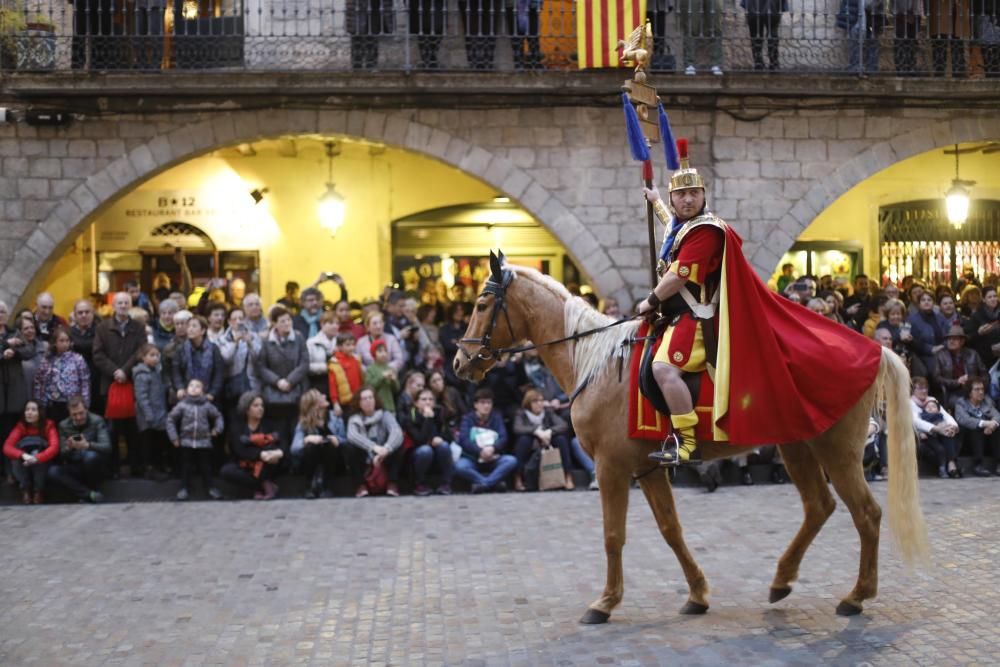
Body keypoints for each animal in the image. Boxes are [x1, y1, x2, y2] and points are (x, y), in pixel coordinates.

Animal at [454, 258, 928, 628]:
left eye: (481, 305)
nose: (460, 361)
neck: (597, 363)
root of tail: (872, 350)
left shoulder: (611, 467)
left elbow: (613, 535)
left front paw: (605, 602)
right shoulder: (646, 468)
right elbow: (671, 529)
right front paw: (697, 594)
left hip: (837, 451)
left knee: (865, 514)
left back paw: (856, 596)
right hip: (797, 447)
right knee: (819, 506)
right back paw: (781, 581)